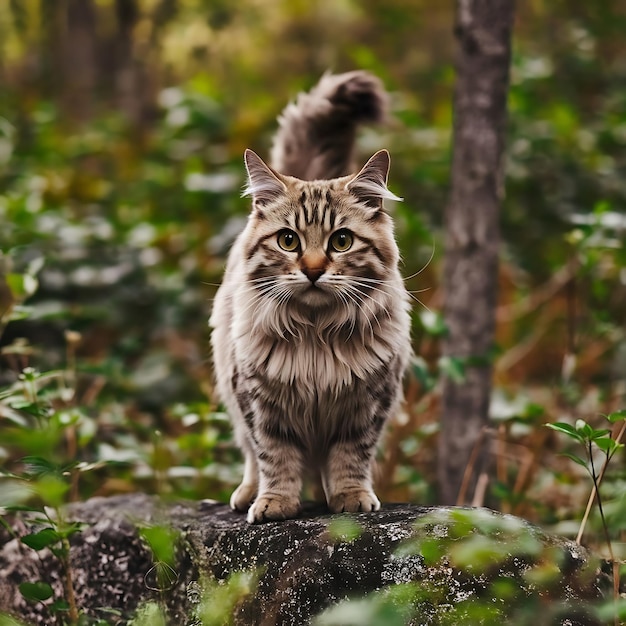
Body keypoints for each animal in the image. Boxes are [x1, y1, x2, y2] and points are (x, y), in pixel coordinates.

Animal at [210, 70, 410, 520]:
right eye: (288, 241)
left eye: (341, 241)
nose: (314, 270)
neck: (317, 337)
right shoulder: (260, 404)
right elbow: (274, 458)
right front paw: (275, 503)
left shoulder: (368, 405)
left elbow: (351, 457)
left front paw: (350, 497)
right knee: (249, 456)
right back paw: (247, 493)